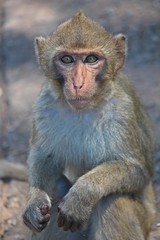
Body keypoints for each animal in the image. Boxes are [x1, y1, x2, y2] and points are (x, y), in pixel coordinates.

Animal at [21, 10, 156, 240]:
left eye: (91, 59)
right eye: (66, 59)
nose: (78, 83)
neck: (84, 110)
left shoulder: (122, 110)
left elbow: (137, 171)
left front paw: (83, 194)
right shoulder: (43, 106)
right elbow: (44, 157)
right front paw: (35, 200)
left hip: (143, 222)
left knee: (111, 200)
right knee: (55, 189)